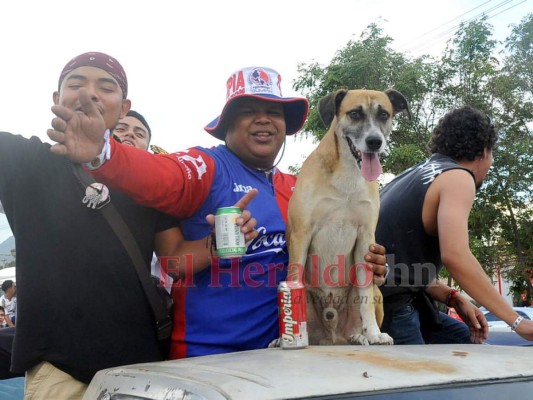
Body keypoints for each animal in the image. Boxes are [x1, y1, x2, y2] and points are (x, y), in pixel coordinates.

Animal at [286, 89, 408, 346]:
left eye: (384, 114)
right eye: (354, 113)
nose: (374, 142)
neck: (349, 175)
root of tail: (332, 337)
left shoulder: (365, 238)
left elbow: (365, 299)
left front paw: (373, 334)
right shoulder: (302, 235)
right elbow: (293, 284)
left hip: (375, 293)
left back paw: (358, 336)